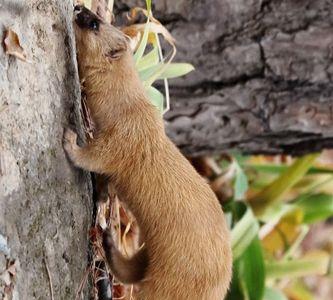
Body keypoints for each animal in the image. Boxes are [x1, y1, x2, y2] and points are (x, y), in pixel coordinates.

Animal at [64, 5, 231, 300]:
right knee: (132, 269)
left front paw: (70, 141)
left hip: (170, 281)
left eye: (94, 23)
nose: (79, 7)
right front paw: (102, 194)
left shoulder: (123, 140)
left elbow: (95, 157)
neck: (130, 108)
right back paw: (108, 241)